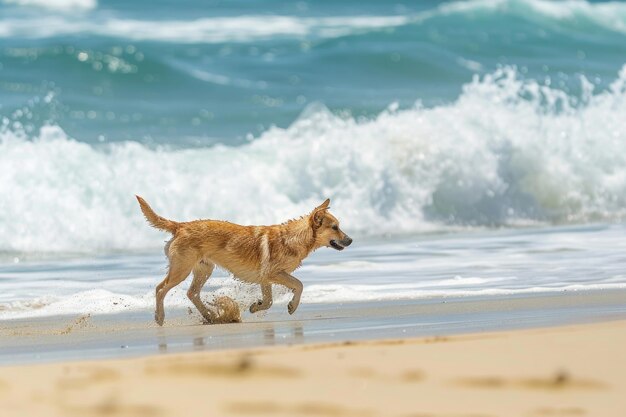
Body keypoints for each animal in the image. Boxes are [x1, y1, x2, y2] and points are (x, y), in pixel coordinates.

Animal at [135, 195, 352, 324]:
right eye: (335, 227)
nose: (350, 240)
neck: (294, 238)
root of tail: (180, 225)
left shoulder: (266, 278)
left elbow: (269, 301)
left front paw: (256, 307)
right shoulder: (274, 273)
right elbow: (299, 285)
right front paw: (292, 305)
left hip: (204, 269)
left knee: (192, 293)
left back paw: (210, 315)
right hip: (181, 269)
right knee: (160, 289)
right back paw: (160, 317)